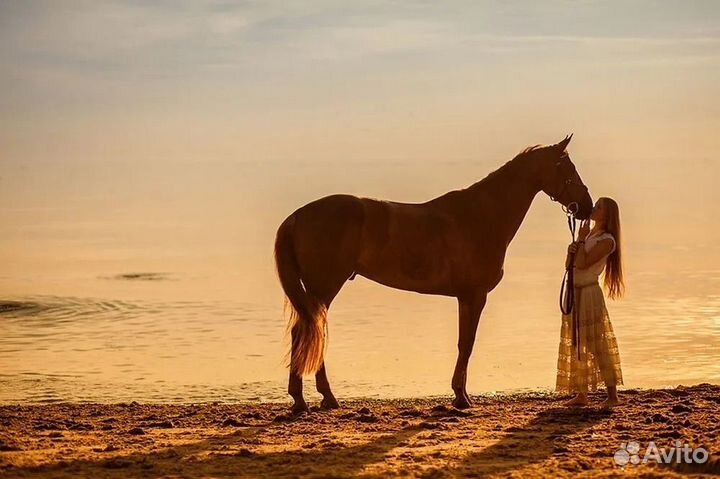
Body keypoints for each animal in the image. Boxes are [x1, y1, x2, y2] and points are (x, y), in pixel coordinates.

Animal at [274, 135, 592, 412]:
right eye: (567, 167)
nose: (586, 207)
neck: (481, 216)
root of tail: (297, 216)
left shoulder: (465, 297)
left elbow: (464, 343)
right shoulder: (474, 295)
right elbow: (466, 343)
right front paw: (461, 397)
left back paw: (310, 399)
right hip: (324, 287)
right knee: (307, 331)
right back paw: (315, 398)